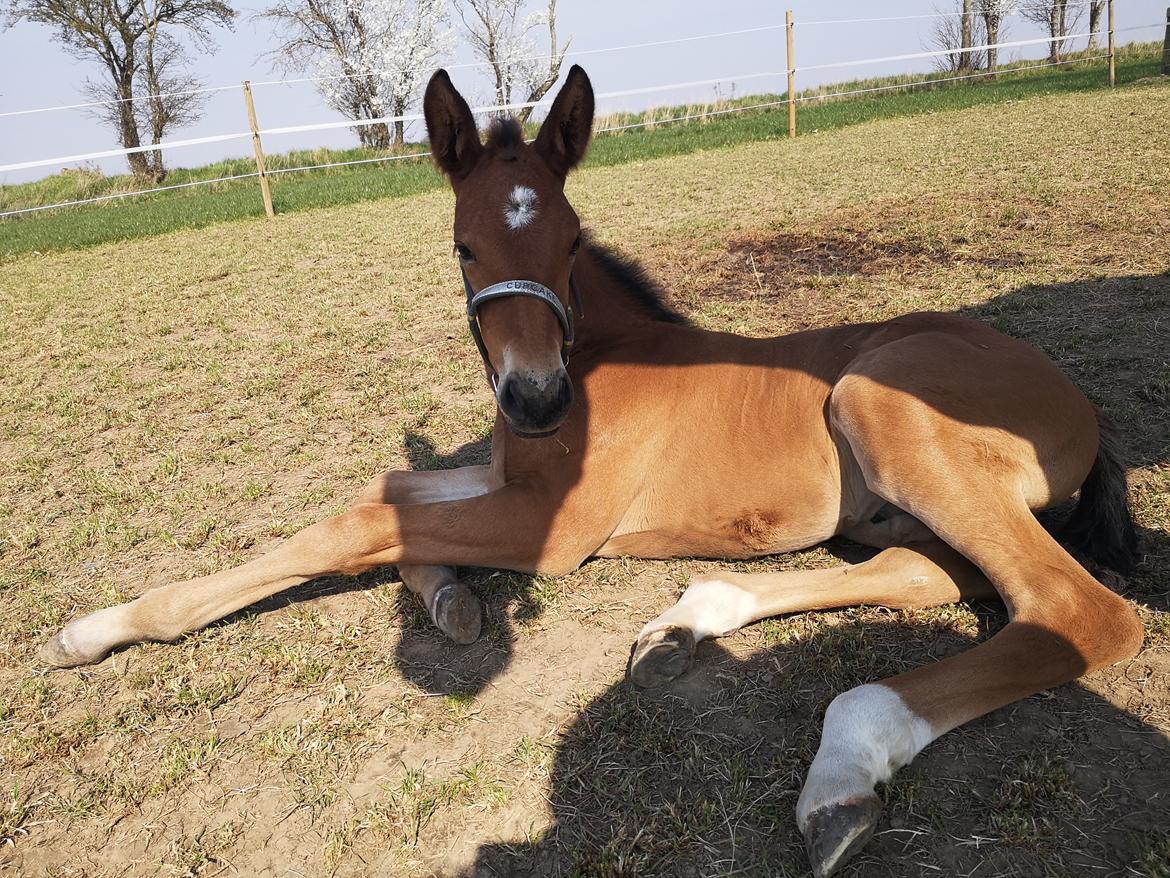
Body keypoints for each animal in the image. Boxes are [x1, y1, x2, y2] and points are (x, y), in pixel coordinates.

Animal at [43, 65, 1141, 875]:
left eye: (570, 238)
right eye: (463, 245)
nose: (535, 399)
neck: (596, 364)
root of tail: (1075, 398)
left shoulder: (554, 530)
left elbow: (356, 527)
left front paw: (102, 626)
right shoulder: (505, 482)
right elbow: (380, 498)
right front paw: (447, 596)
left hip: (881, 408)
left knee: (1077, 608)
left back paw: (841, 771)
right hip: (897, 501)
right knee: (933, 574)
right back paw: (689, 621)